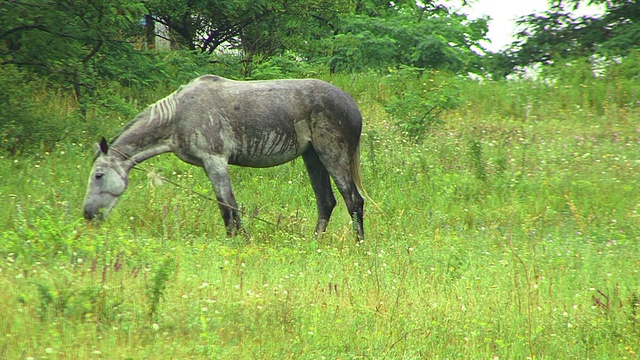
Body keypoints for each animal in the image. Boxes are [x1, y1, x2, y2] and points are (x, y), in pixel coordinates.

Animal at [82, 74, 364, 239]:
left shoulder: (215, 161)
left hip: (332, 156)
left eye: (98, 175)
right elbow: (227, 209)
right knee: (326, 202)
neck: (179, 114)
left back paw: (359, 246)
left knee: (354, 201)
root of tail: (351, 104)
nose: (88, 215)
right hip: (313, 158)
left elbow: (229, 208)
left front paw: (240, 243)